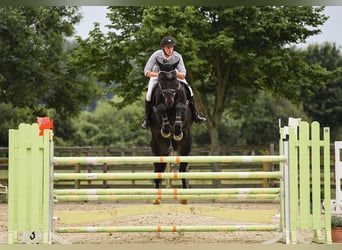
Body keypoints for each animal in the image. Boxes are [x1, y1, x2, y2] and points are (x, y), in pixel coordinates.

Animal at [149, 60, 192, 203]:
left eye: (174, 80)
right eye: (161, 79)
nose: (169, 101)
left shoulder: (183, 107)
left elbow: (179, 106)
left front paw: (177, 129)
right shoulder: (158, 109)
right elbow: (161, 108)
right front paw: (166, 128)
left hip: (184, 146)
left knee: (183, 168)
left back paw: (184, 197)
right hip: (159, 148)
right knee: (158, 168)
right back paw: (156, 198)